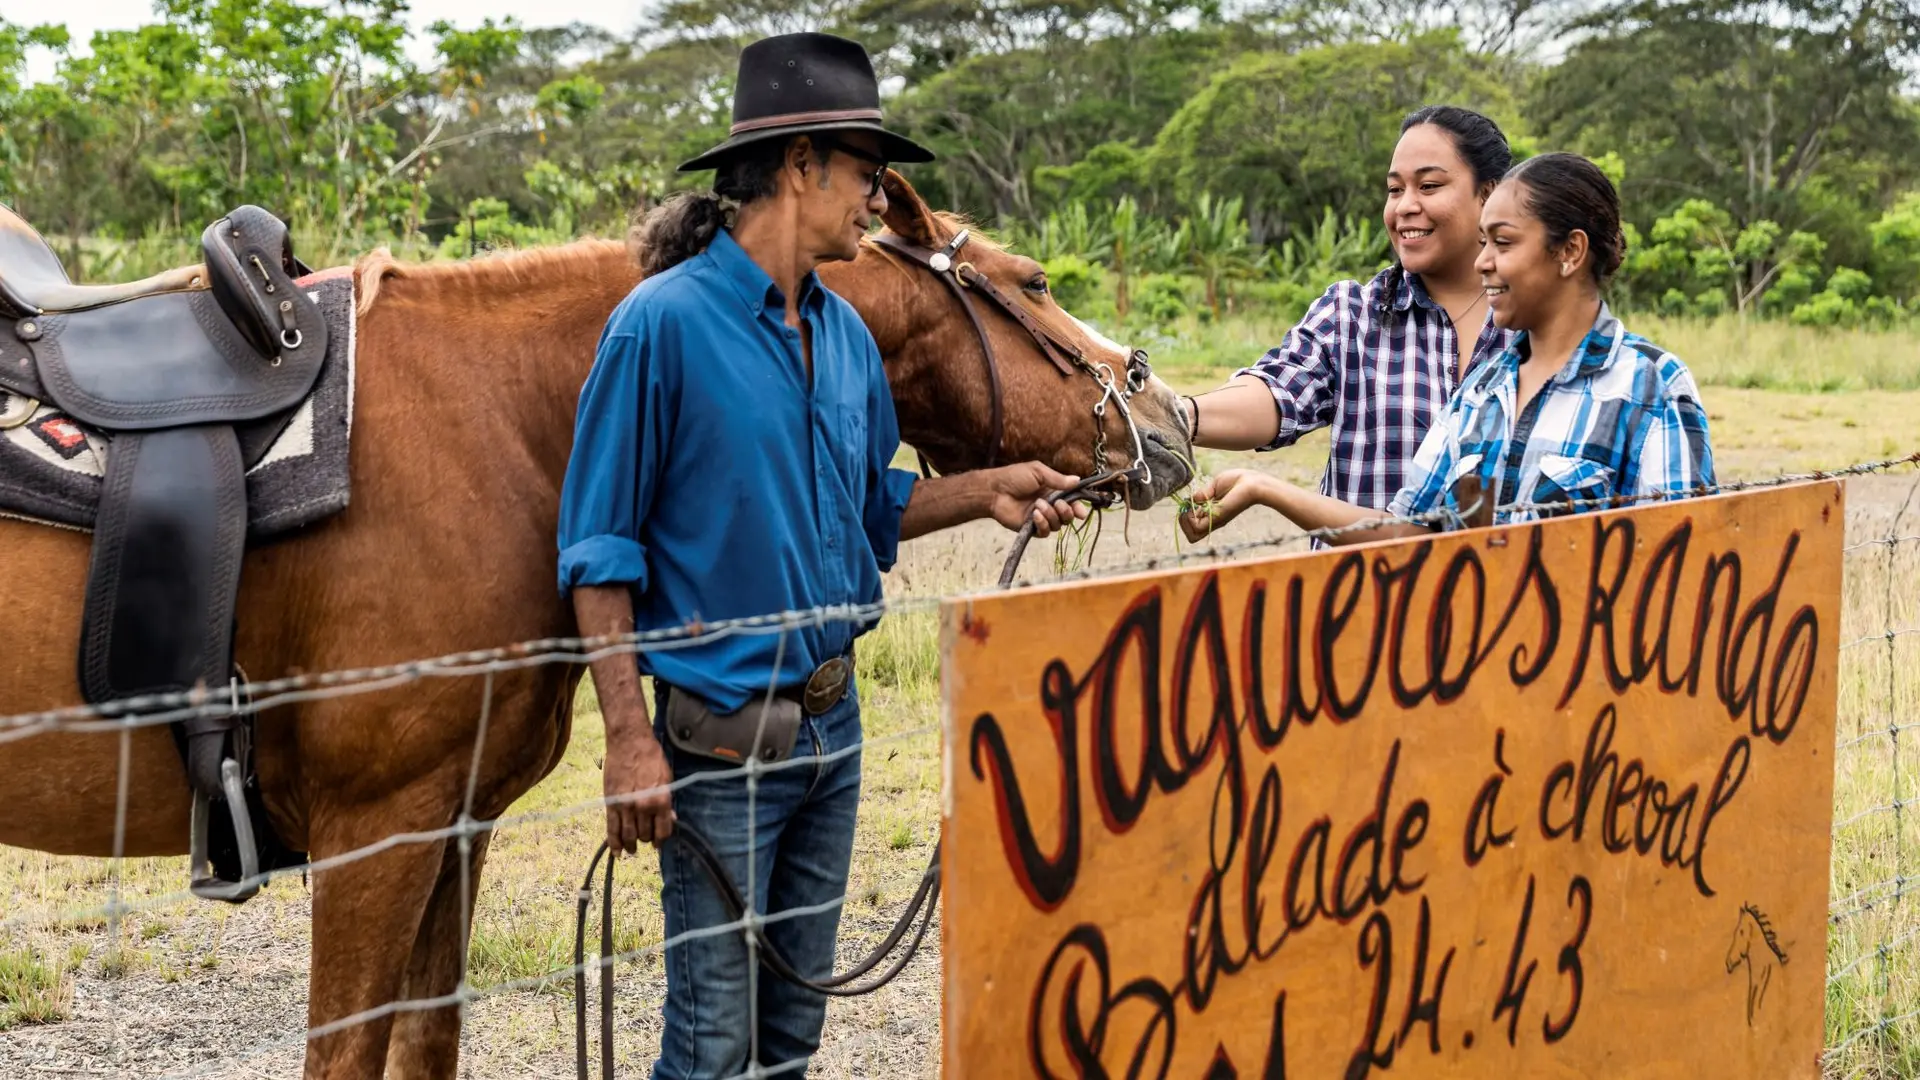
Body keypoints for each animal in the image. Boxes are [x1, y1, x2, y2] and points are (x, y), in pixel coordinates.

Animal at [0, 171, 1190, 1068]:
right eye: (1036, 283)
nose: (1169, 410)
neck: (501, 426)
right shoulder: (374, 832)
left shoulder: (451, 825)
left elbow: (425, 1044)